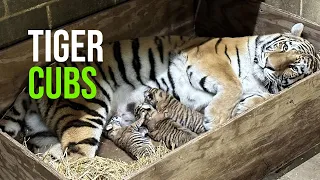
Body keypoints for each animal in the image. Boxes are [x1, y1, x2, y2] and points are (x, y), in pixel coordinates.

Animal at [0, 22, 320, 159]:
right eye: (284, 46)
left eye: (293, 68)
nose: (269, 64)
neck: (258, 74)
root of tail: (35, 78)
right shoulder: (207, 59)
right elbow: (233, 83)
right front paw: (216, 119)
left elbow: (258, 98)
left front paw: (241, 108)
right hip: (85, 113)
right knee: (79, 160)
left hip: (44, 134)